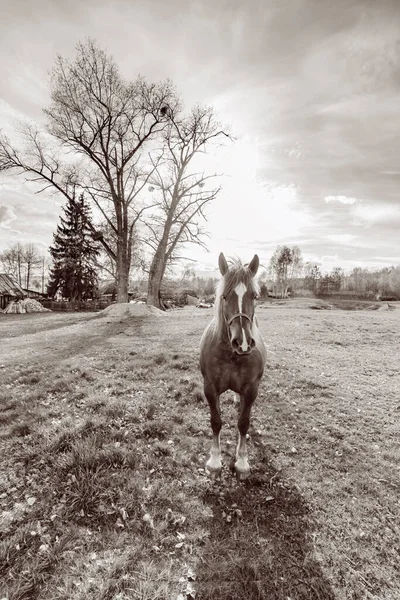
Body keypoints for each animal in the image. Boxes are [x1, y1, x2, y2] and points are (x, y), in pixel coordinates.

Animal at [199, 252, 266, 478]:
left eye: (254, 296)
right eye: (224, 296)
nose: (243, 342)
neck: (230, 355)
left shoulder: (251, 389)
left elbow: (243, 424)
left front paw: (242, 461)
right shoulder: (210, 388)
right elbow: (216, 422)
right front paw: (214, 461)